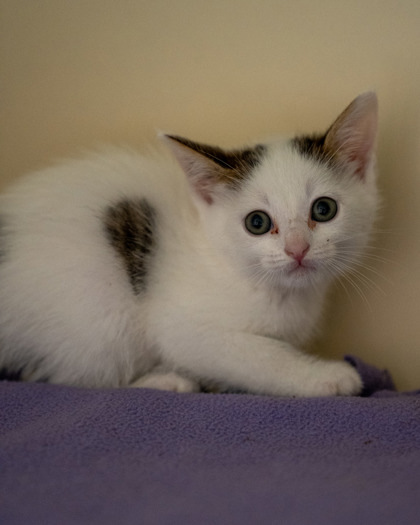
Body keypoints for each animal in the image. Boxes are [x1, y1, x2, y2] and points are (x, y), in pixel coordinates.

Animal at [0, 94, 378, 396]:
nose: (297, 249)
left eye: (324, 209)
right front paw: (326, 377)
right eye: (257, 223)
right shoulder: (183, 328)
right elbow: (257, 355)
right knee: (66, 375)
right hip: (97, 311)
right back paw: (164, 381)